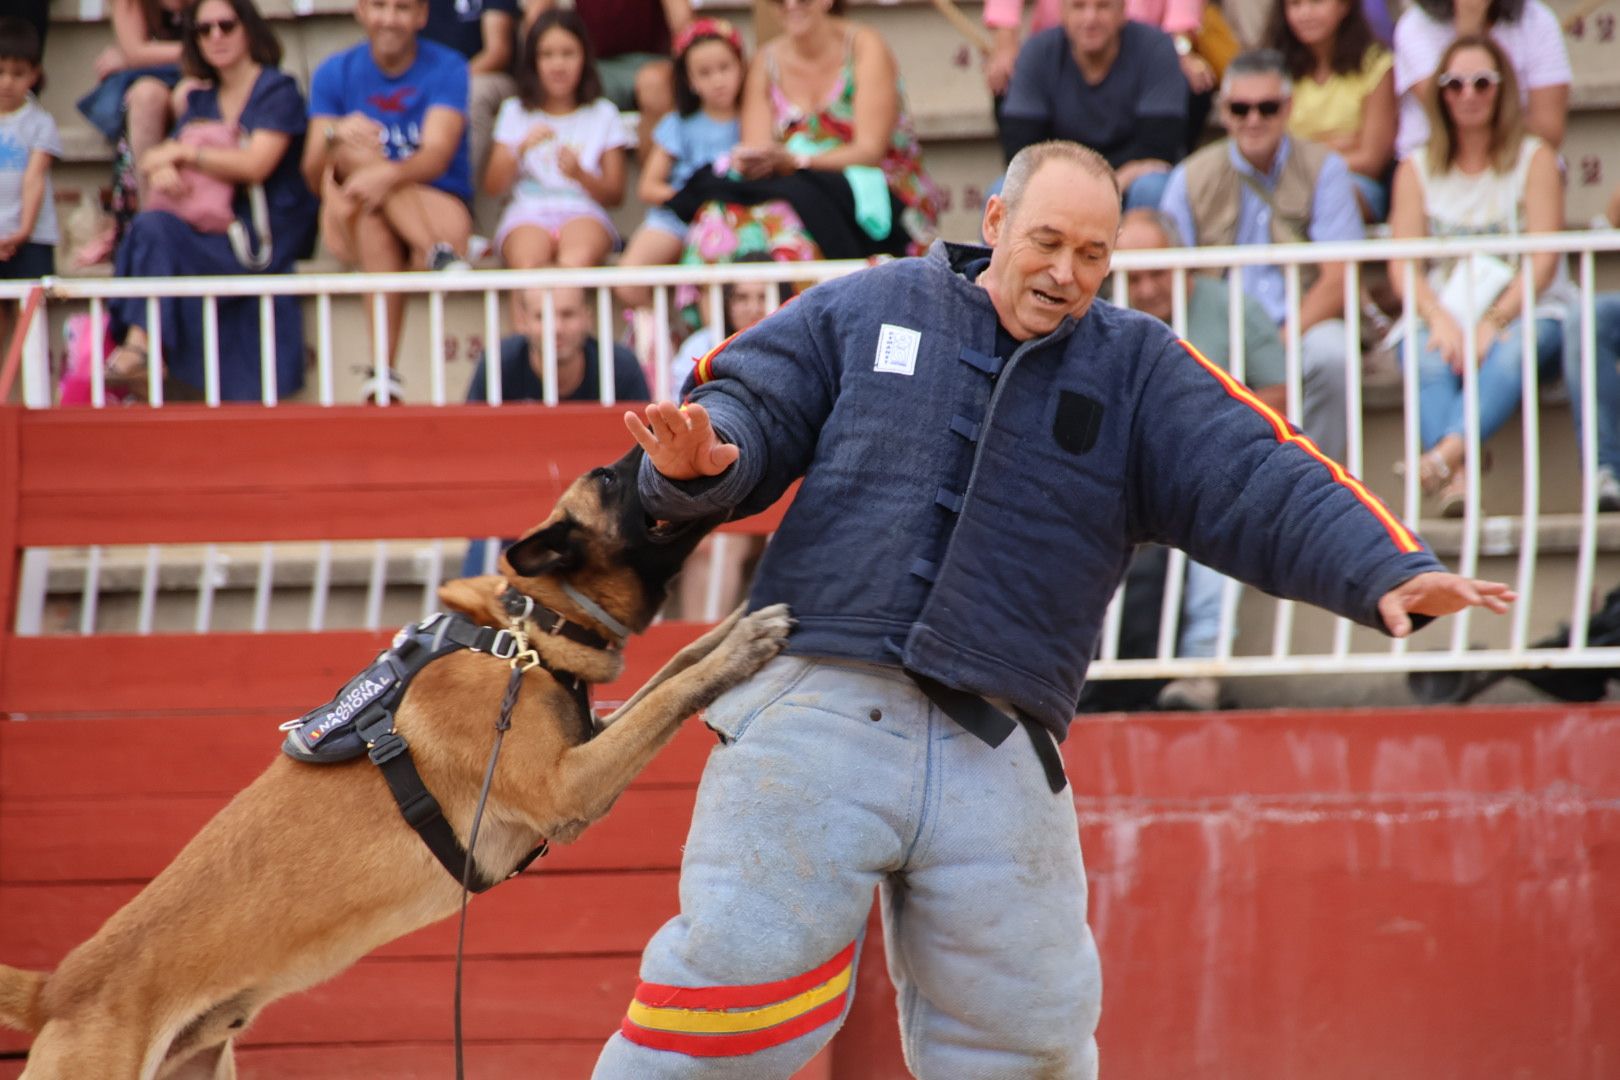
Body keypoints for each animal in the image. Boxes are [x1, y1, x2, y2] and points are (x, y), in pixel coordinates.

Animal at [0, 450, 790, 1080]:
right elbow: (672, 695)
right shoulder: (568, 787)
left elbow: (673, 667)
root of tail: (55, 991)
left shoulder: (585, 745)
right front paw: (741, 644)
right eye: (610, 478)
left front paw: (729, 624)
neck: (520, 628)